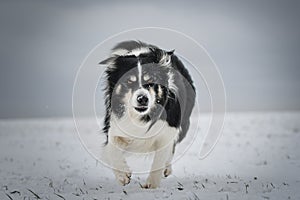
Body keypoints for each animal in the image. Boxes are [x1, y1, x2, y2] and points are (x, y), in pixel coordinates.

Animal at [99, 41, 196, 189]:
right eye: (129, 81)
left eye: (151, 80)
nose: (142, 99)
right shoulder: (115, 125)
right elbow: (112, 147)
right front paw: (123, 175)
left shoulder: (168, 130)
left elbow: (160, 158)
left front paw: (152, 185)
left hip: (183, 124)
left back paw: (167, 168)